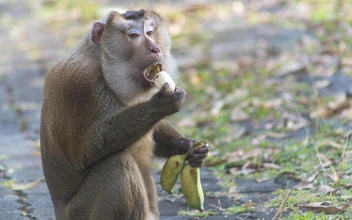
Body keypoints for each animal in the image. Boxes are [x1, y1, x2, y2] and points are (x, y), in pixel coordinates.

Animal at [40, 9, 209, 220]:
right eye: (134, 35)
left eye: (150, 31)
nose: (155, 49)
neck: (100, 60)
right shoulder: (82, 86)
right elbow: (88, 149)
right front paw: (163, 104)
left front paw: (187, 146)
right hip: (80, 213)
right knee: (117, 165)